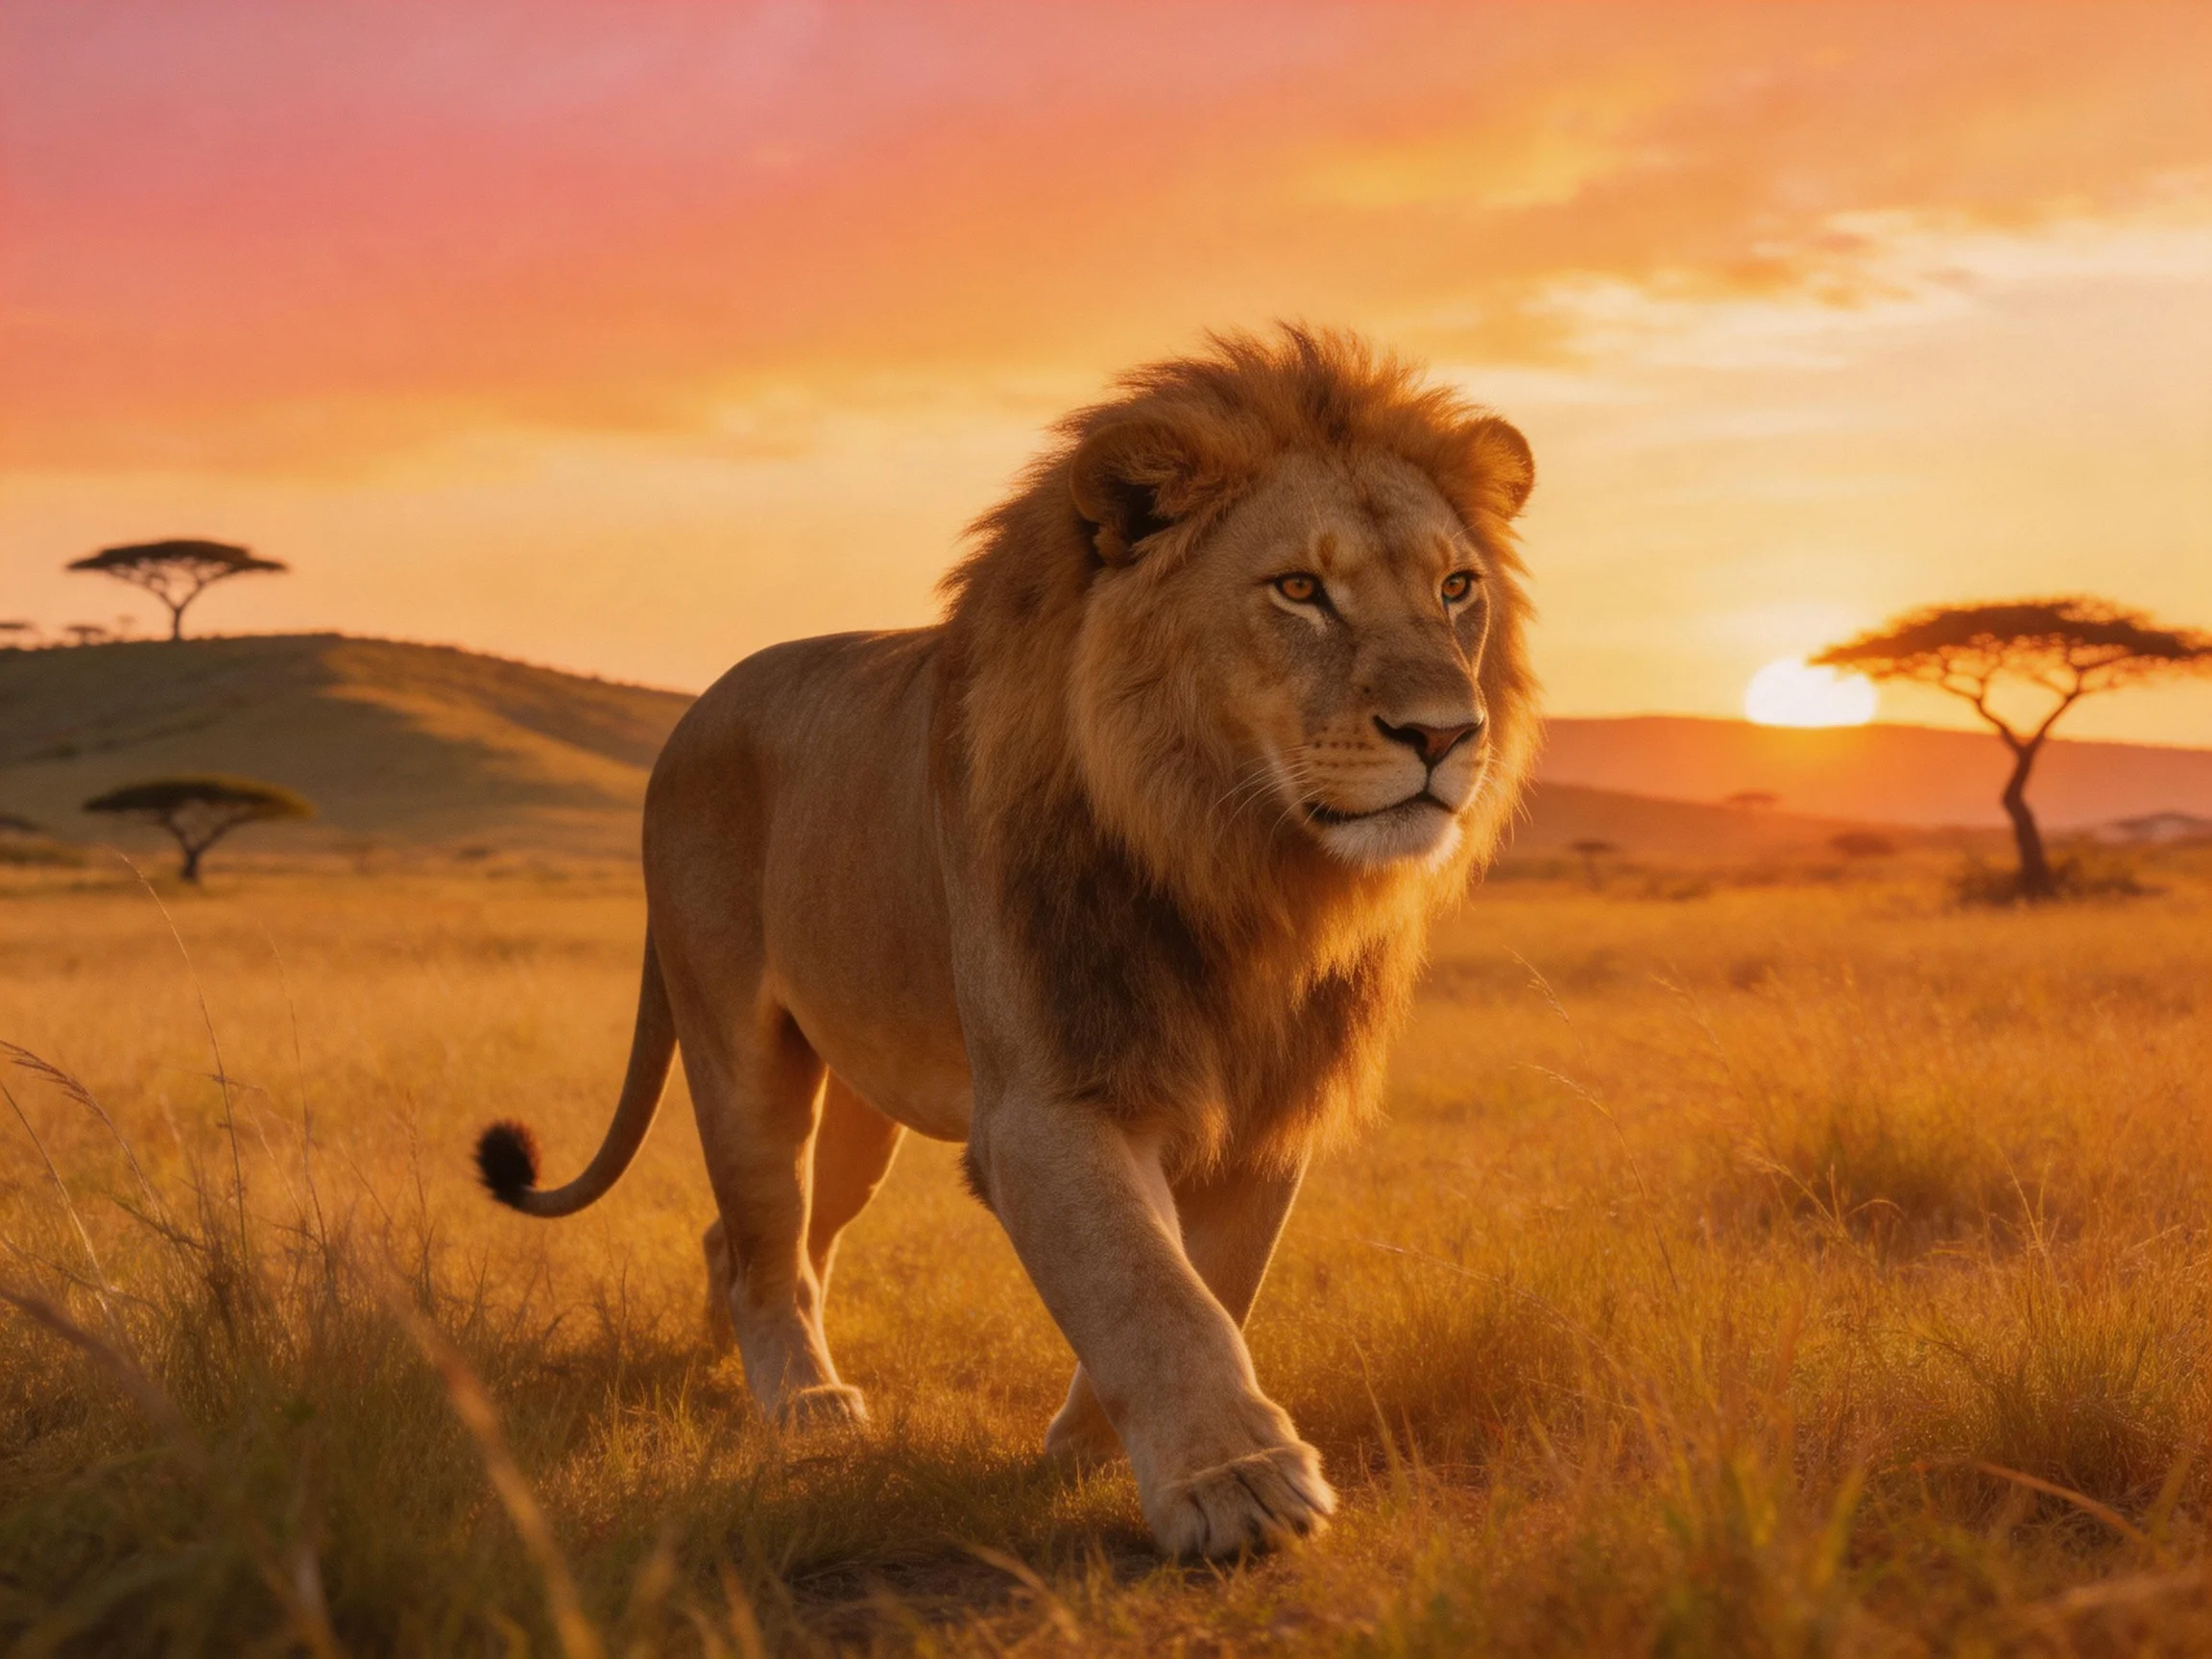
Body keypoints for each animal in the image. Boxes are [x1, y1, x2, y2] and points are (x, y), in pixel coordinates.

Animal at [473, 326, 1537, 1559]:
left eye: (1457, 588)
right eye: (1300, 590)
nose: (1446, 734)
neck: (1239, 868)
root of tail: (694, 711)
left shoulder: (1270, 1114)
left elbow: (1214, 1281)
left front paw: (1087, 1453)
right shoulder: (1045, 1103)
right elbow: (1146, 1288)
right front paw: (1237, 1484)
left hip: (861, 1109)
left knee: (751, 1241)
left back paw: (723, 1359)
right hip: (741, 1053)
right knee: (763, 1231)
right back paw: (802, 1402)